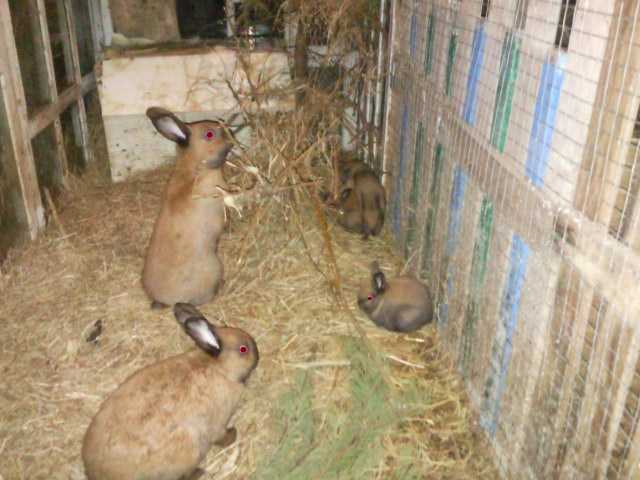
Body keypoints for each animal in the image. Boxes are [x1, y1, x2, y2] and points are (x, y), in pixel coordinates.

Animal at [82, 303, 259, 480]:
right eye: (243, 349)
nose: (257, 356)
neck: (218, 368)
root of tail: (95, 473)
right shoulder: (217, 423)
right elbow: (223, 437)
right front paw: (234, 433)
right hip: (188, 451)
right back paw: (200, 472)